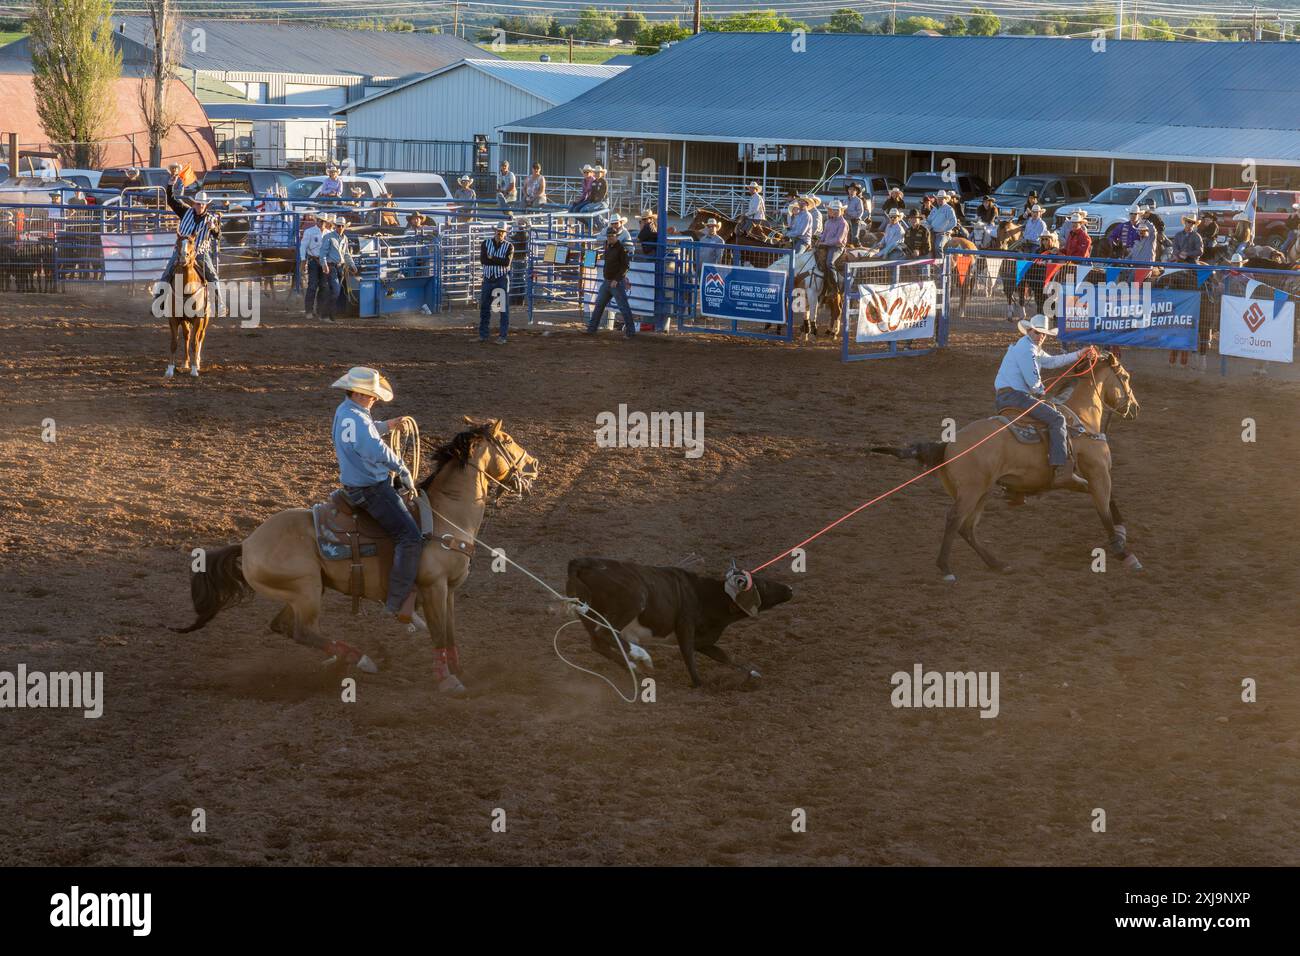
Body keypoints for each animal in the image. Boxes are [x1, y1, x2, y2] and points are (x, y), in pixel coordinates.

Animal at [172, 418, 538, 697]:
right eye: (507, 440)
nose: (534, 465)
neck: (446, 516)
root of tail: (247, 543)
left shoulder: (448, 590)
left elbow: (449, 633)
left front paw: (461, 672)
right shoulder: (433, 586)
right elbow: (437, 633)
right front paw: (447, 680)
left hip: (302, 592)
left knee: (284, 627)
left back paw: (342, 660)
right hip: (305, 590)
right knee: (303, 631)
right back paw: (361, 659)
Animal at [566, 554, 790, 686]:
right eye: (763, 585)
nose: (789, 589)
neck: (704, 595)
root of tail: (582, 562)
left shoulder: (704, 641)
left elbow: (725, 657)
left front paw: (751, 674)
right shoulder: (685, 627)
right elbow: (688, 655)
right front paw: (700, 683)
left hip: (587, 613)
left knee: (598, 643)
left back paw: (634, 668)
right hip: (634, 601)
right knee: (605, 633)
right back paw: (641, 656)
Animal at [873, 348, 1138, 580]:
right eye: (1125, 377)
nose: (1134, 408)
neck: (1081, 418)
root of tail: (948, 445)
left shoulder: (1076, 479)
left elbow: (1108, 500)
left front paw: (1122, 533)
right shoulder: (1099, 473)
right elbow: (1104, 510)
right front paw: (1124, 553)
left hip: (982, 491)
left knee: (967, 527)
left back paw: (997, 564)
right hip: (971, 492)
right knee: (954, 520)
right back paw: (946, 568)